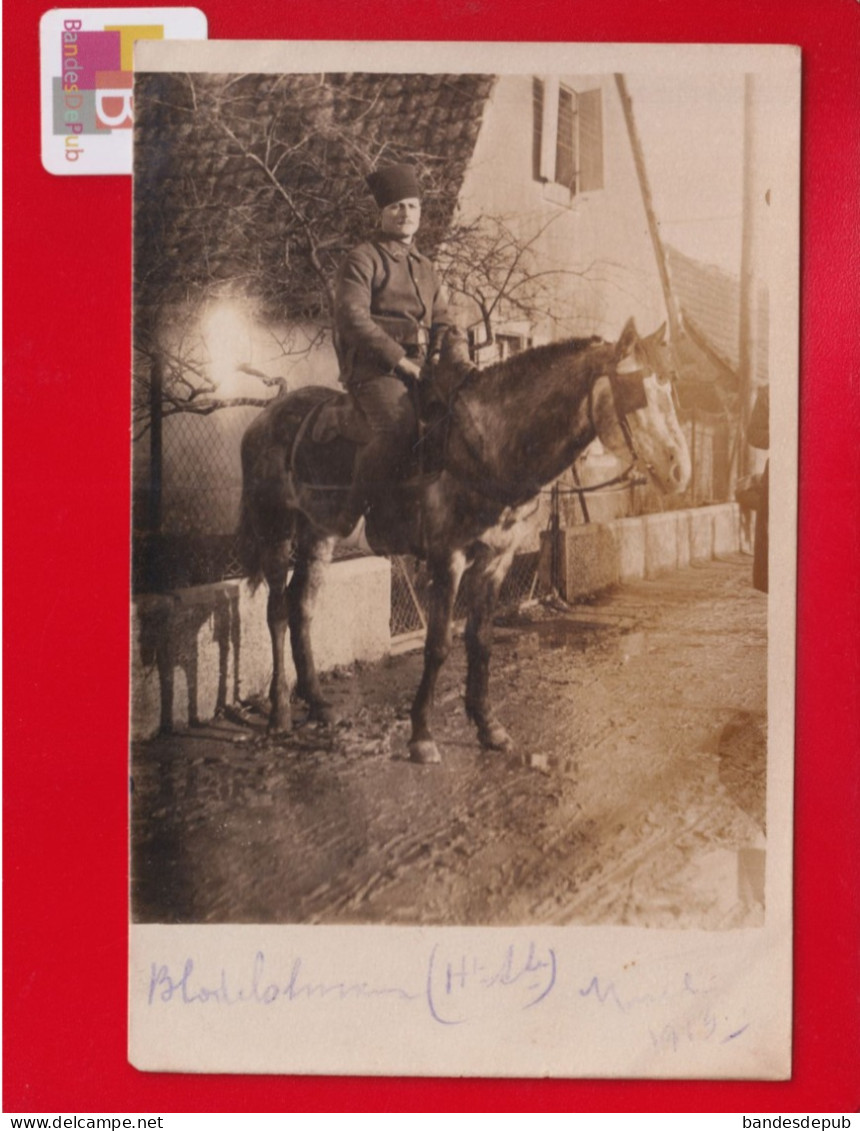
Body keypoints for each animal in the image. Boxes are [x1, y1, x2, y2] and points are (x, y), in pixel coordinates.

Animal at [239, 318, 692, 760]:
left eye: (671, 385)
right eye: (637, 391)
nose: (680, 471)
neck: (486, 444)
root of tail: (265, 416)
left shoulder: (496, 560)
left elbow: (481, 640)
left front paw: (488, 726)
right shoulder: (447, 558)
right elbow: (439, 644)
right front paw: (422, 734)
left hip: (319, 533)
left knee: (302, 607)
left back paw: (319, 704)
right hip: (275, 530)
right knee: (276, 612)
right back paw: (280, 712)